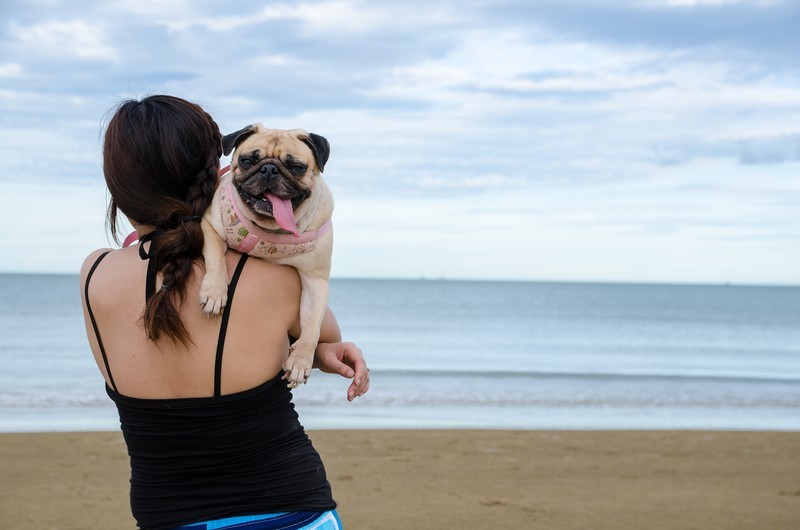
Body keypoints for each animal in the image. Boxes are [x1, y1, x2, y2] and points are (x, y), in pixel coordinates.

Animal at [205, 124, 336, 388]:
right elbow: (216, 258)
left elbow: (313, 325)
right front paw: (214, 293)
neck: (270, 230)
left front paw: (301, 360)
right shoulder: (210, 226)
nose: (269, 169)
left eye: (296, 167)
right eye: (247, 161)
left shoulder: (315, 280)